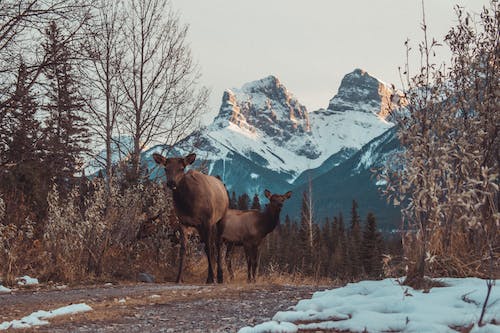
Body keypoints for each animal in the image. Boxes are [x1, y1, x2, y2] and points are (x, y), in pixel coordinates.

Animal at [154, 152, 229, 282]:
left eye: (181, 168)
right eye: (165, 168)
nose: (171, 182)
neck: (189, 206)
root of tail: (222, 186)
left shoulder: (207, 221)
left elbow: (208, 248)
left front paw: (211, 278)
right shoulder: (183, 222)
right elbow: (182, 250)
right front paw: (178, 278)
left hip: (220, 218)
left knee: (218, 244)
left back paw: (219, 276)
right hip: (201, 227)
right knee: (212, 246)